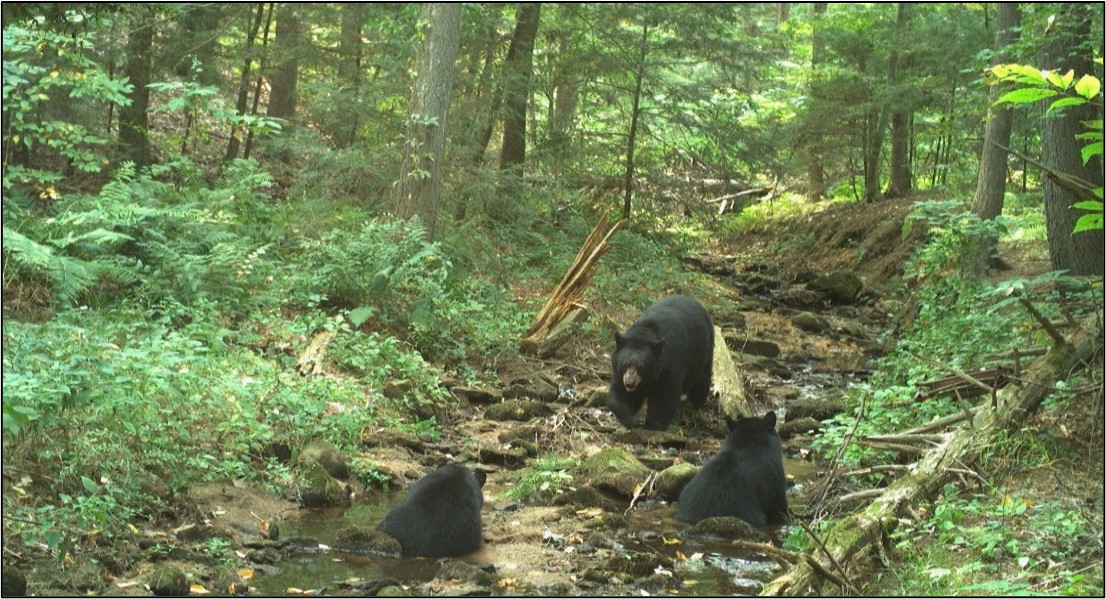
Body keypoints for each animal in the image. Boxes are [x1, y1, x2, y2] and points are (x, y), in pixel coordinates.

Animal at [610, 296, 712, 433]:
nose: (630, 383)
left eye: (641, 367)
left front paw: (653, 425)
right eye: (625, 364)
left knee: (701, 383)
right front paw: (629, 419)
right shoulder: (620, 372)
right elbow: (622, 393)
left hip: (704, 353)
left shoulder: (670, 367)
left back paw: (694, 405)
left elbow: (664, 398)